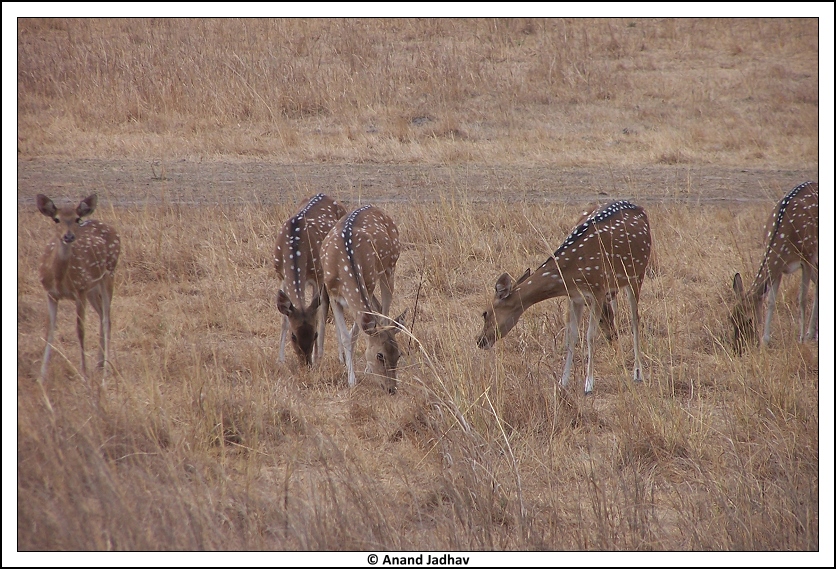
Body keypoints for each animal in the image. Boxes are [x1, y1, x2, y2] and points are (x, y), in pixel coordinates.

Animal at [36, 193, 121, 384]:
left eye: (77, 219)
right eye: (56, 219)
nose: (69, 236)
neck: (60, 279)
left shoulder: (80, 290)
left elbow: (80, 330)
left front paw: (84, 374)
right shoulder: (50, 293)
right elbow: (48, 331)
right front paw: (42, 376)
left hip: (109, 273)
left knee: (107, 318)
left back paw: (105, 370)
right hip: (92, 288)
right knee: (102, 315)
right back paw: (99, 363)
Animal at [274, 193, 346, 366]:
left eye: (315, 334)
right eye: (293, 336)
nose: (306, 364)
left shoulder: (317, 275)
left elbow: (319, 312)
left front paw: (315, 356)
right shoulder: (281, 275)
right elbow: (284, 320)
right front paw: (280, 360)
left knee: (328, 305)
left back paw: (337, 356)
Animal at [322, 206, 406, 392]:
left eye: (399, 354)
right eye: (380, 355)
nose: (392, 389)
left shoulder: (367, 286)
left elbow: (355, 333)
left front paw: (355, 372)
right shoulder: (332, 294)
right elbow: (347, 336)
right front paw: (351, 379)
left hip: (390, 267)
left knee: (384, 312)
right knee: (379, 309)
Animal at [476, 201, 652, 394]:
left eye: (485, 313)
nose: (479, 340)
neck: (570, 274)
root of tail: (640, 207)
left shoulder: (598, 289)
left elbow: (590, 336)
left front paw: (588, 385)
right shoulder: (575, 297)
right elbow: (571, 336)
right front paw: (563, 382)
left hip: (638, 274)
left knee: (635, 320)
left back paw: (637, 373)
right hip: (616, 287)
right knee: (615, 319)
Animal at [732, 181, 816, 350]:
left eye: (749, 319)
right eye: (731, 317)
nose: (738, 348)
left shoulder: (807, 258)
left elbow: (802, 299)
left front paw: (802, 339)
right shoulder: (779, 268)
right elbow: (770, 301)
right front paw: (765, 340)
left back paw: (810, 333)